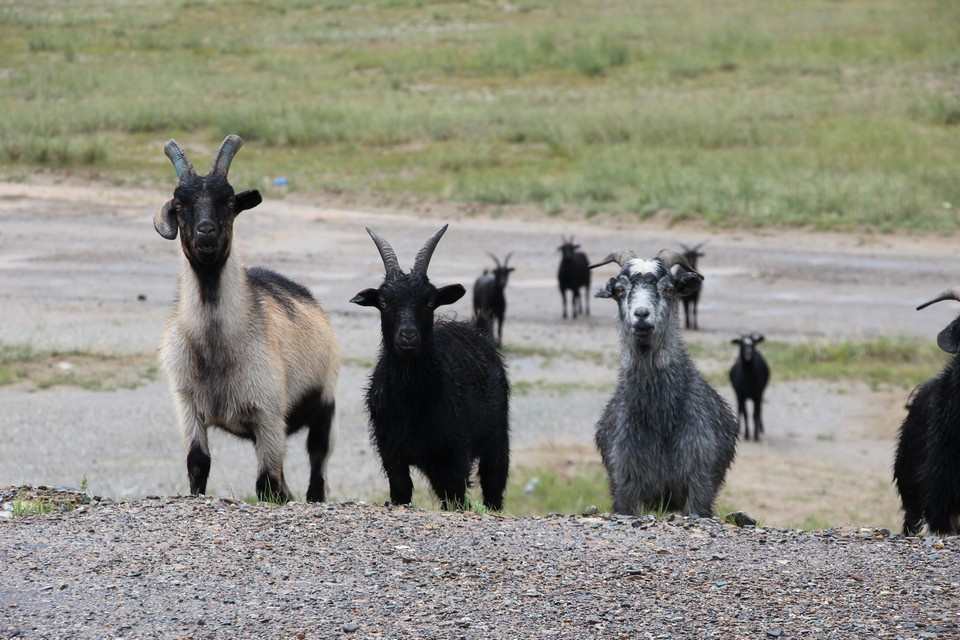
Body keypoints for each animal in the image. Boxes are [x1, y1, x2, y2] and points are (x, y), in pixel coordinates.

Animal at [154, 136, 342, 504]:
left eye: (229, 201)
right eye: (179, 205)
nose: (206, 232)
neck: (217, 345)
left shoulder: (269, 414)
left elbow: (267, 484)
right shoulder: (188, 405)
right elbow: (198, 464)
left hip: (323, 402)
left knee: (316, 467)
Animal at [588, 248, 740, 516]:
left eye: (668, 289)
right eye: (620, 289)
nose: (641, 315)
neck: (660, 420)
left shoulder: (699, 484)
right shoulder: (625, 486)